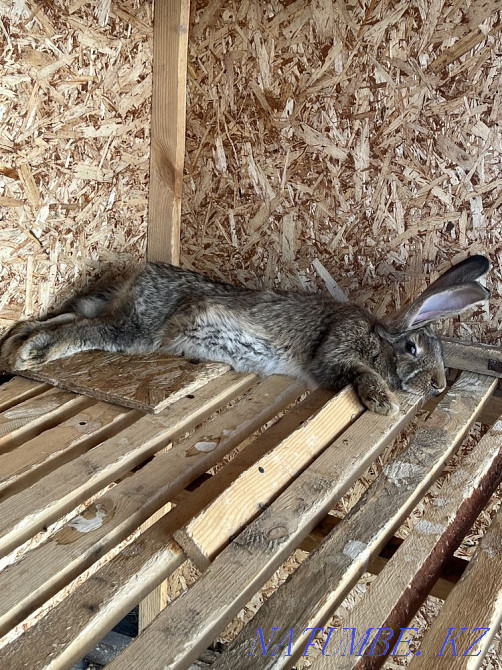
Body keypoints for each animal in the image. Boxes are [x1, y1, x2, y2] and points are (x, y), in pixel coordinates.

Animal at [0, 255, 490, 416]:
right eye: (412, 347)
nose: (439, 386)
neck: (378, 336)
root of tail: (139, 275)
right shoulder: (335, 351)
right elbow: (355, 372)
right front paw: (383, 403)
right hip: (137, 328)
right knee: (85, 329)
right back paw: (29, 353)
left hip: (115, 310)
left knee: (68, 315)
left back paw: (15, 342)